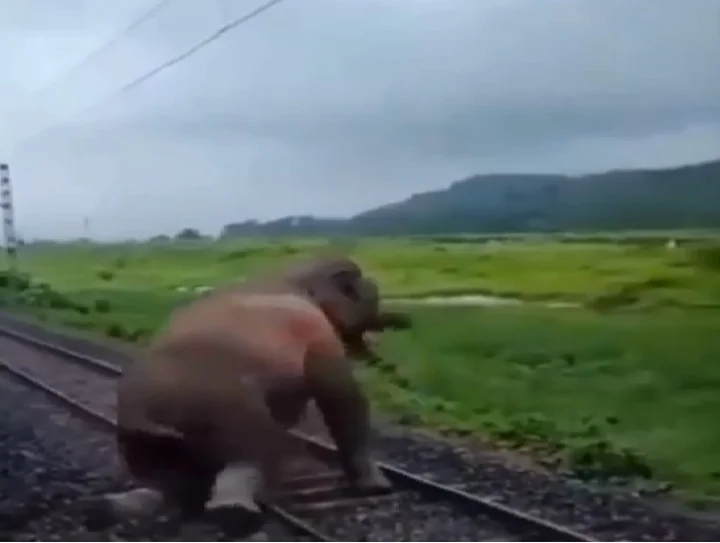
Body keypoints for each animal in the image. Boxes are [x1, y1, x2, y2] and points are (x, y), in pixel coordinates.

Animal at [90, 256, 399, 533]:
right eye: (365, 286)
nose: (396, 319)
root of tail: (148, 411)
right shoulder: (318, 333)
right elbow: (342, 397)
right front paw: (378, 487)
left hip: (140, 439)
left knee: (167, 480)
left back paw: (109, 509)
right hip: (222, 407)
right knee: (254, 448)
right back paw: (236, 514)